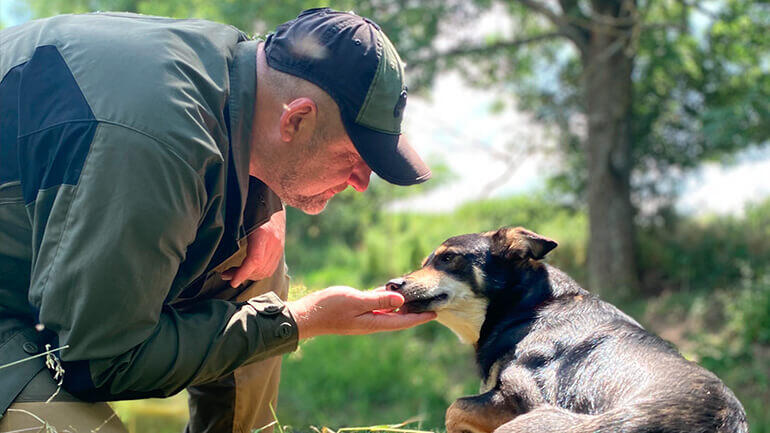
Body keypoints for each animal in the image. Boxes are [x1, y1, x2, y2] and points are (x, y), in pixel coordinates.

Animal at [388, 226, 748, 432]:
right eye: (424, 263)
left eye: (448, 258)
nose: (392, 284)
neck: (528, 308)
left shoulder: (522, 398)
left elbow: (454, 408)